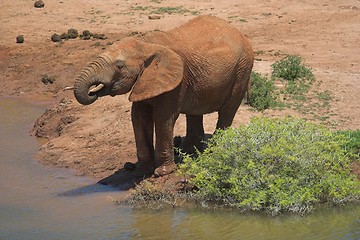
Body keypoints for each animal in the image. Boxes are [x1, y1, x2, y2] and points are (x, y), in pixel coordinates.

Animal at [70, 15, 255, 184]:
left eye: (119, 66)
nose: (93, 92)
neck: (146, 44)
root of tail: (240, 33)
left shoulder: (176, 80)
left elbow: (162, 118)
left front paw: (161, 173)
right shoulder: (145, 81)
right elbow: (139, 117)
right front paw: (142, 171)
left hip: (243, 69)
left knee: (227, 111)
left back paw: (213, 151)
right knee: (195, 111)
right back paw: (190, 153)